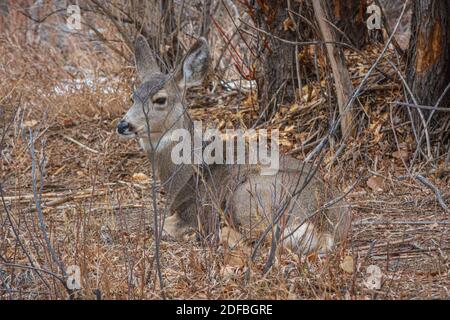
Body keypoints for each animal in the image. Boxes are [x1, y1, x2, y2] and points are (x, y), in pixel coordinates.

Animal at [117, 35, 352, 254]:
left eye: (160, 99)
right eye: (133, 97)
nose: (123, 125)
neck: (184, 174)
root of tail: (325, 227)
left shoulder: (193, 211)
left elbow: (159, 225)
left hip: (248, 194)